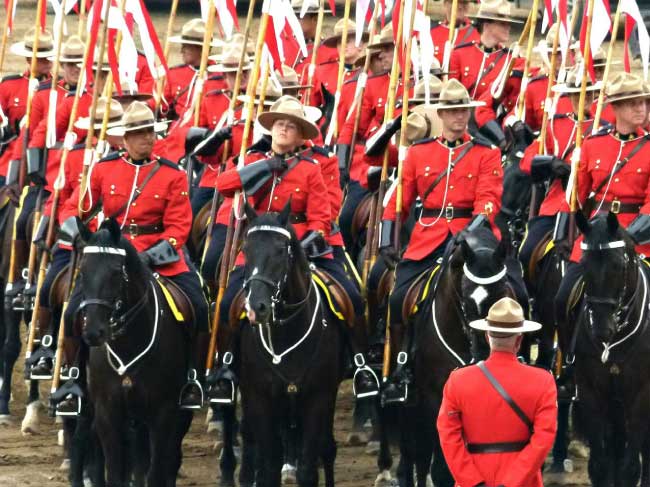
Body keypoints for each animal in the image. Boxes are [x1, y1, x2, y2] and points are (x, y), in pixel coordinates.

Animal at [73, 221, 191, 487]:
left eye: (116, 272)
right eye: (82, 272)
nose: (94, 332)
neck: (129, 344)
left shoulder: (163, 413)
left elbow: (156, 472)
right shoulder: (107, 414)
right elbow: (116, 474)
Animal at [230, 206, 344, 487]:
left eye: (282, 250)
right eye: (246, 248)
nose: (256, 307)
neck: (287, 332)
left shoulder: (318, 397)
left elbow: (308, 470)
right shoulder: (260, 397)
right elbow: (269, 467)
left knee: (326, 448)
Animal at [568, 214, 648, 487]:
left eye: (616, 265)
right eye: (584, 266)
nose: (601, 329)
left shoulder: (640, 395)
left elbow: (631, 467)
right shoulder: (591, 390)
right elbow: (601, 465)